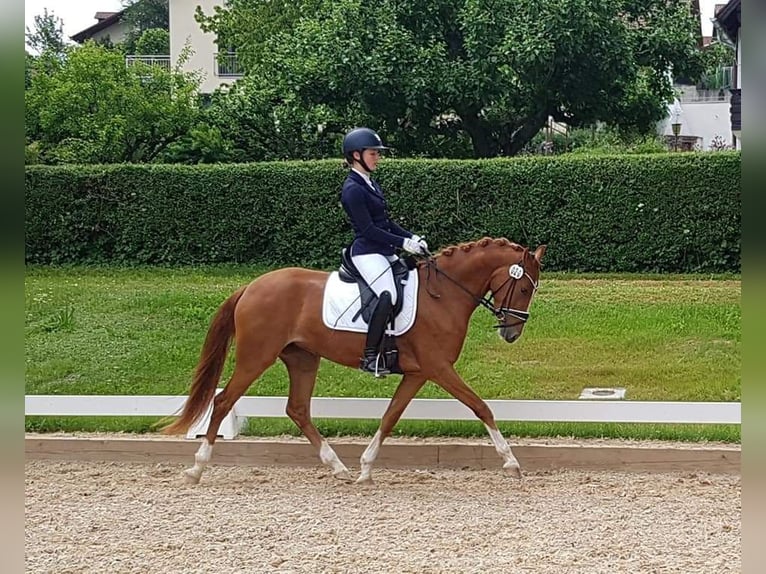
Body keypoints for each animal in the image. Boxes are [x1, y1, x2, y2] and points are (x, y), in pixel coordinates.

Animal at [164, 236, 544, 484]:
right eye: (525, 288)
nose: (511, 333)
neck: (444, 295)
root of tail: (251, 287)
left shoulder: (419, 373)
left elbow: (390, 417)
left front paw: (365, 468)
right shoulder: (439, 368)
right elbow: (481, 407)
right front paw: (511, 463)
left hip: (302, 358)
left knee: (297, 409)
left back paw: (339, 468)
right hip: (256, 356)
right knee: (223, 401)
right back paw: (197, 468)